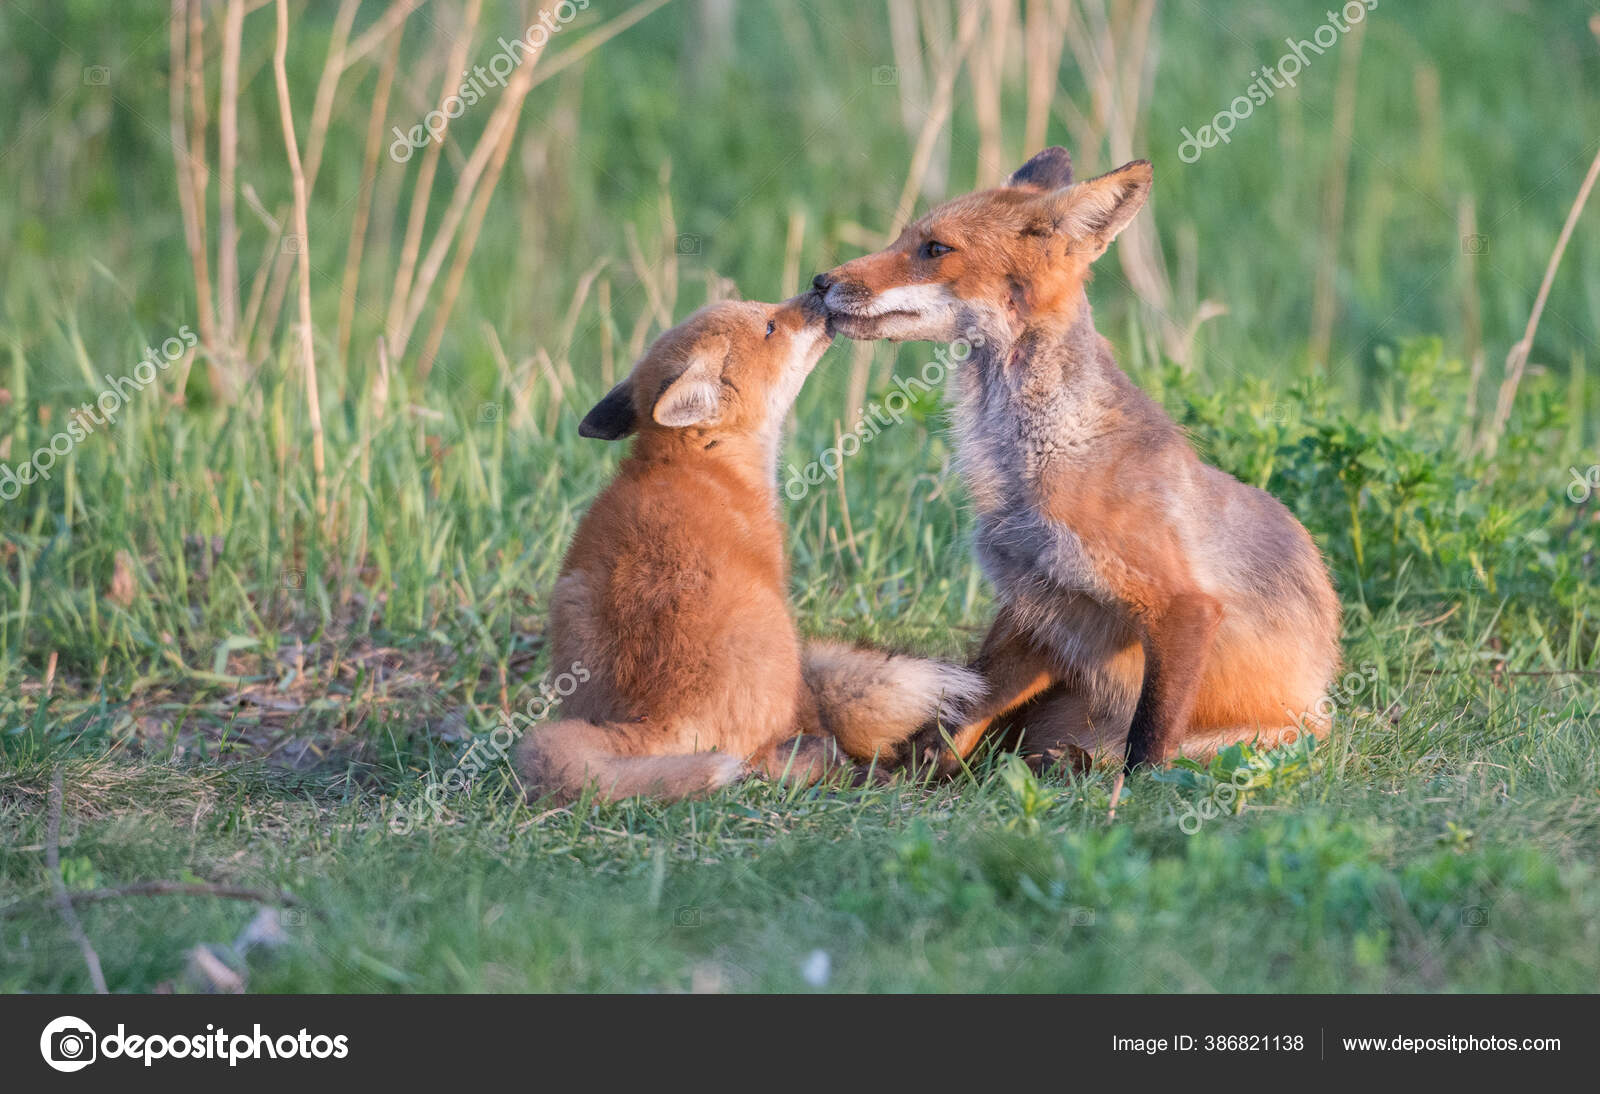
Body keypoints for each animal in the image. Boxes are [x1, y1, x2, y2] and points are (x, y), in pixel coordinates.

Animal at [515, 292, 982, 803]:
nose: (818, 287)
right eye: (771, 326)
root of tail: (651, 715)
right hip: (776, 638)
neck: (701, 461)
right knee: (766, 759)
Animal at [815, 147, 1341, 773]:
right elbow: (953, 723)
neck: (1036, 463)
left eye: (935, 249)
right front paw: (906, 781)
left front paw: (1136, 794)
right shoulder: (1041, 609)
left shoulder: (1182, 607)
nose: (820, 282)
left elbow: (1149, 744)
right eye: (902, 238)